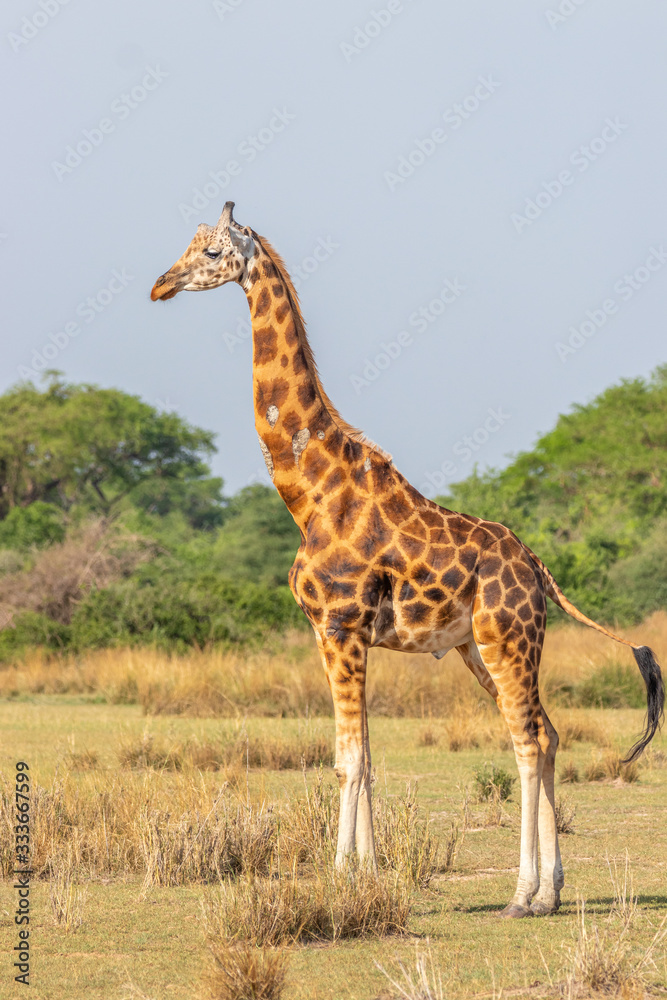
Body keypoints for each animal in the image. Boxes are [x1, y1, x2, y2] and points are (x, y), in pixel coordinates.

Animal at [151, 202, 664, 917]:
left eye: (213, 251)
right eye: (190, 243)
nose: (161, 285)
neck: (309, 491)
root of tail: (540, 570)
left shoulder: (339, 625)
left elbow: (348, 760)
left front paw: (342, 878)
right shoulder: (336, 632)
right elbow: (363, 755)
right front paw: (368, 874)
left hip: (507, 640)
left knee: (529, 739)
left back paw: (523, 895)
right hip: (482, 647)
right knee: (549, 734)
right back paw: (551, 892)